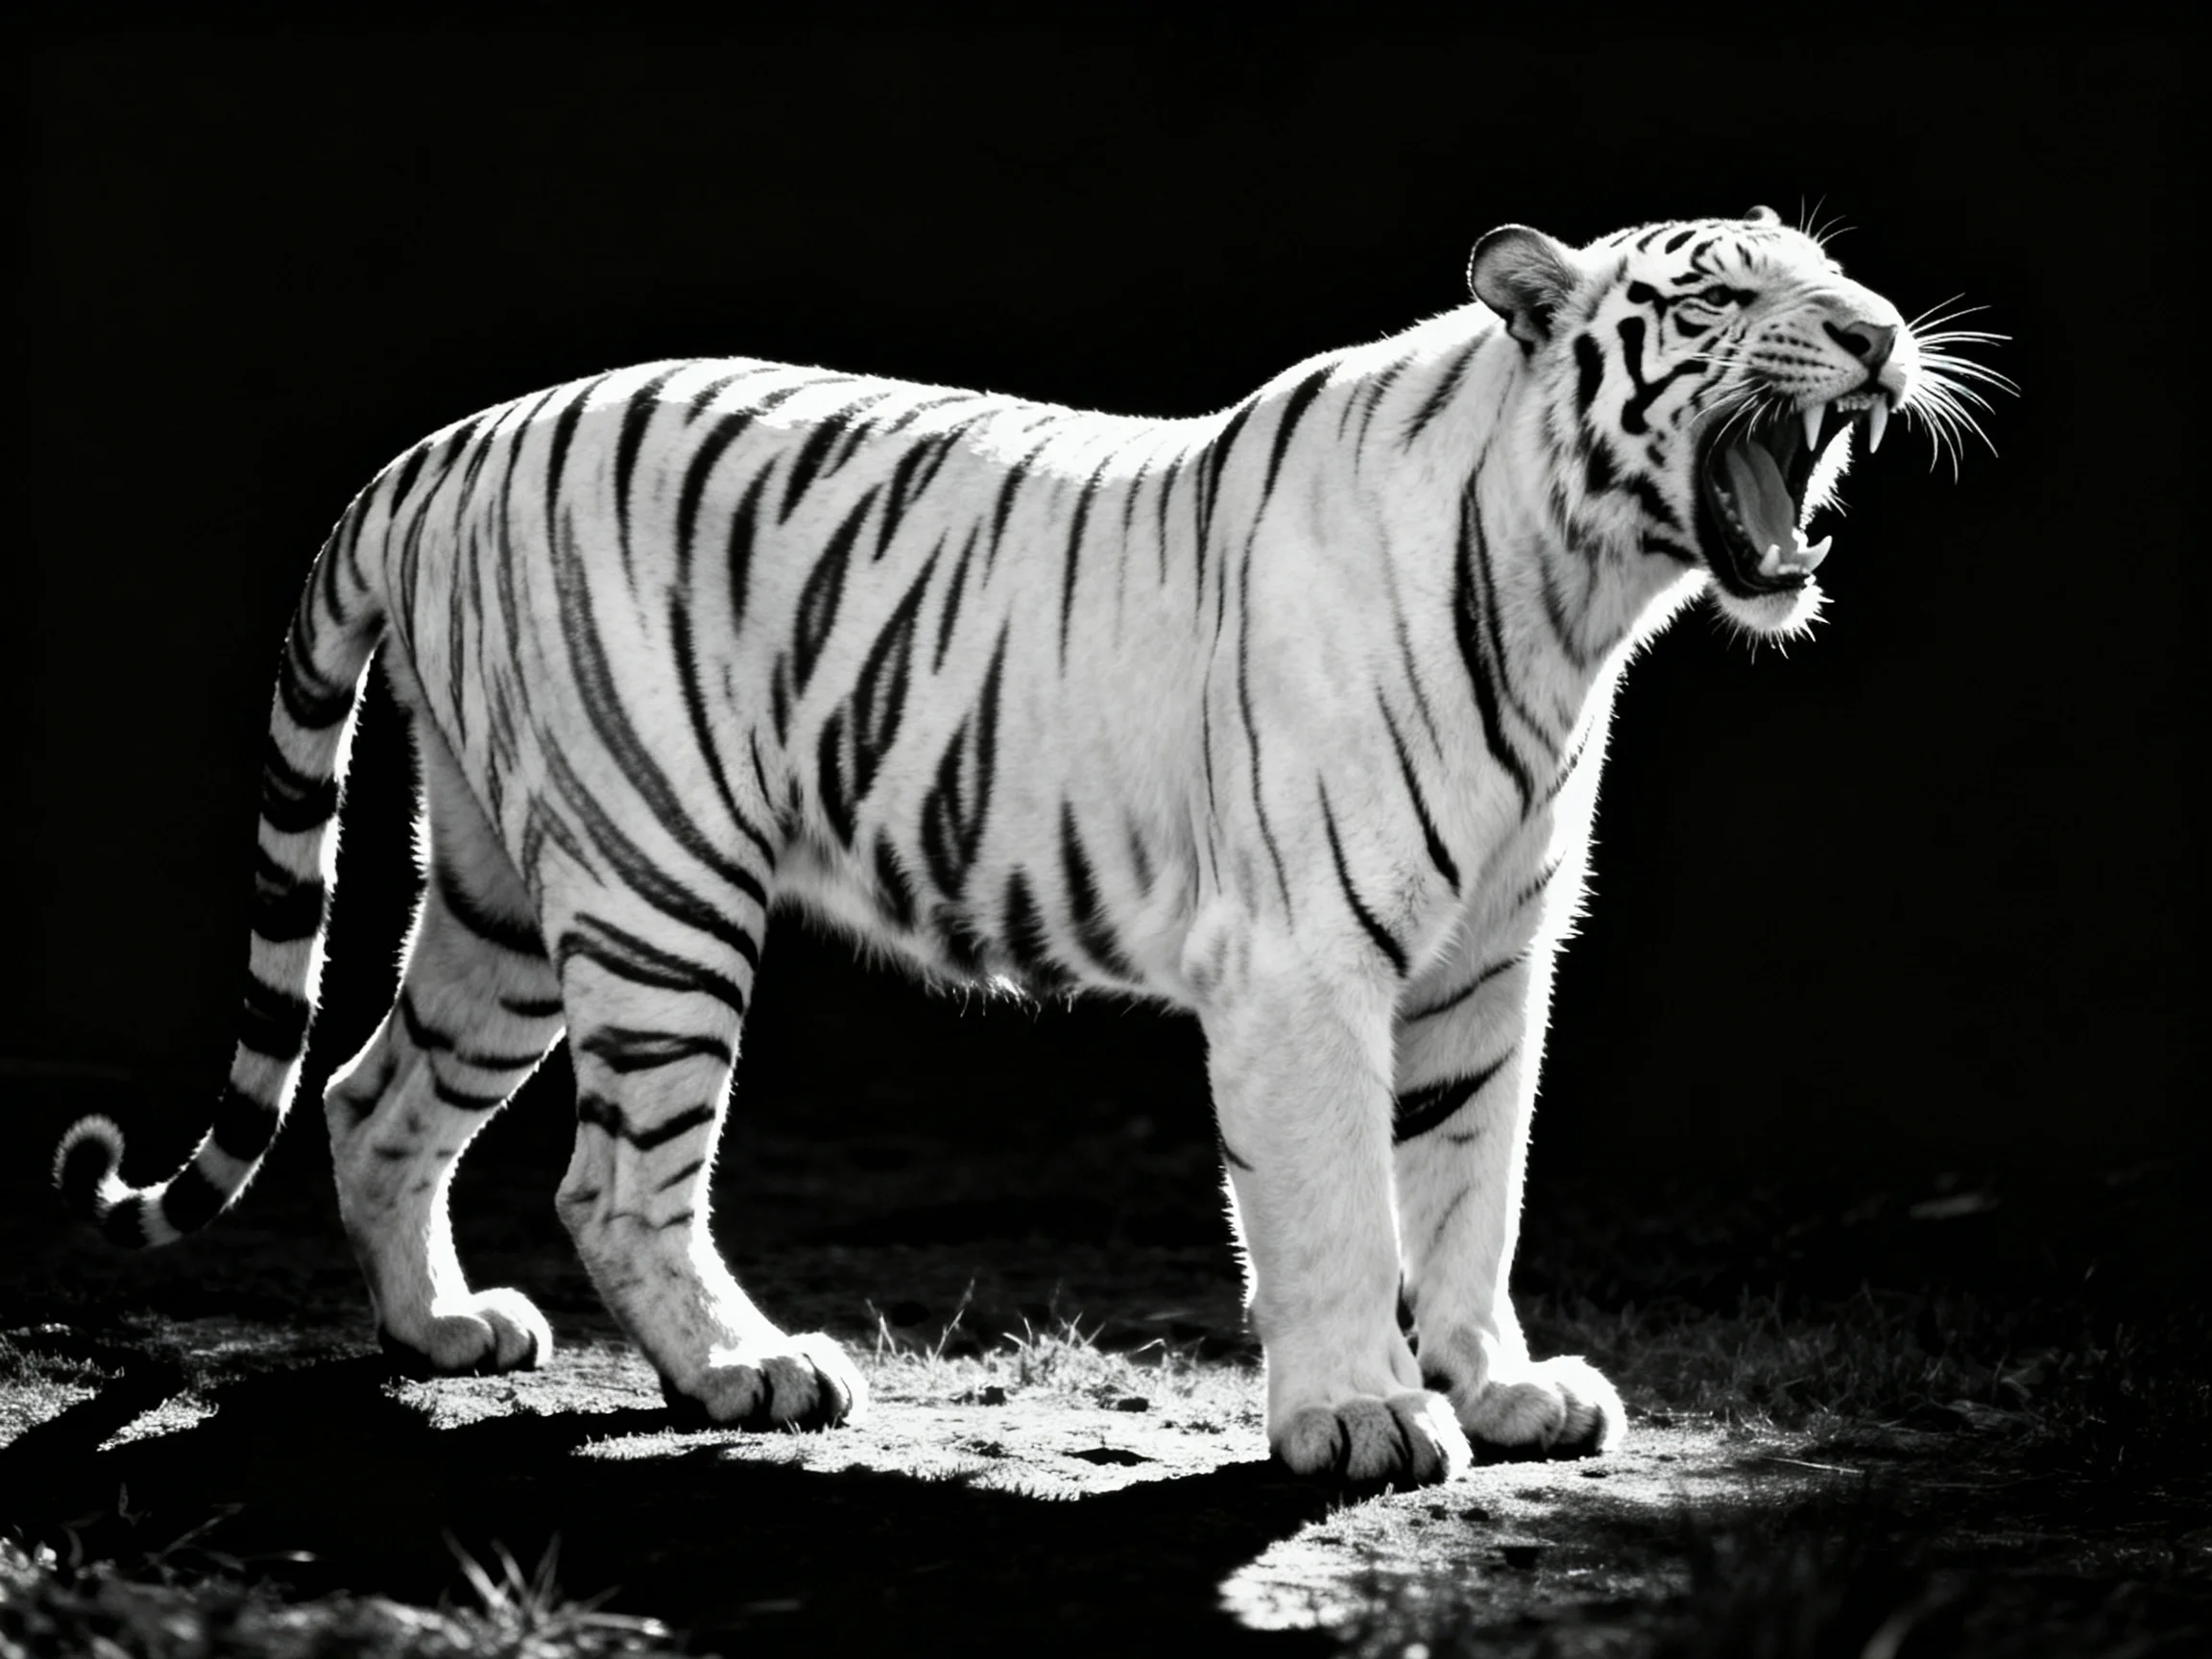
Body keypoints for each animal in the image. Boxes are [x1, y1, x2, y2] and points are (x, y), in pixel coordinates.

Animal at [53, 207, 1995, 1484]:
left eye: (1830, 276)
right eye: (1723, 291)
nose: (1879, 331)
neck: (1570, 598)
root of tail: (436, 449)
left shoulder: (1484, 965)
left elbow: (1467, 1189)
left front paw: (1499, 1390)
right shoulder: (1303, 966)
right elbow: (1333, 1204)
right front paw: (1358, 1416)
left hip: (503, 895)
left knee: (373, 1092)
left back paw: (439, 1334)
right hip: (657, 886)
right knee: (611, 1179)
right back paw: (749, 1372)